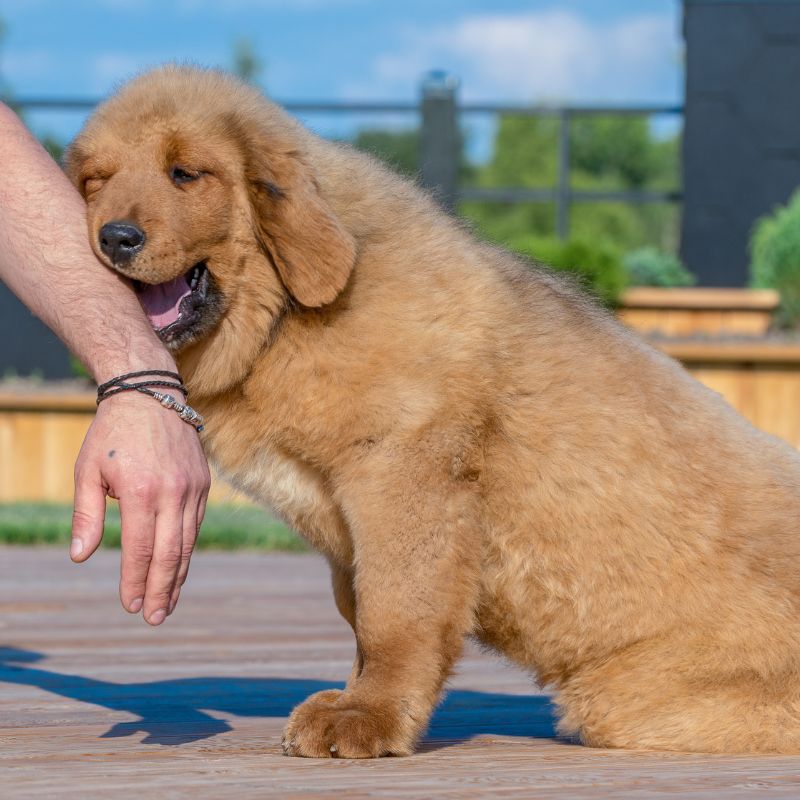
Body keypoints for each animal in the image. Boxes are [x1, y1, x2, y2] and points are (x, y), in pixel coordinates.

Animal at [64, 67, 800, 756]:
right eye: (95, 182)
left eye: (185, 173)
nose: (115, 237)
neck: (286, 325)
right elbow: (362, 617)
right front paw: (359, 699)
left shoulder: (404, 477)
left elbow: (392, 616)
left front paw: (370, 716)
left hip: (622, 701)